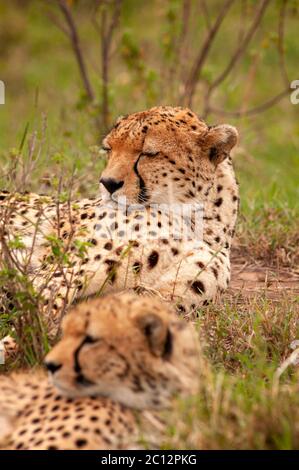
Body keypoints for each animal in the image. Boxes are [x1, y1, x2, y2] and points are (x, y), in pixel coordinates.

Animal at [0, 106, 239, 338]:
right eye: (108, 149)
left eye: (148, 153)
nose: (108, 183)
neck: (195, 221)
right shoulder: (61, 268)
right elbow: (39, 310)